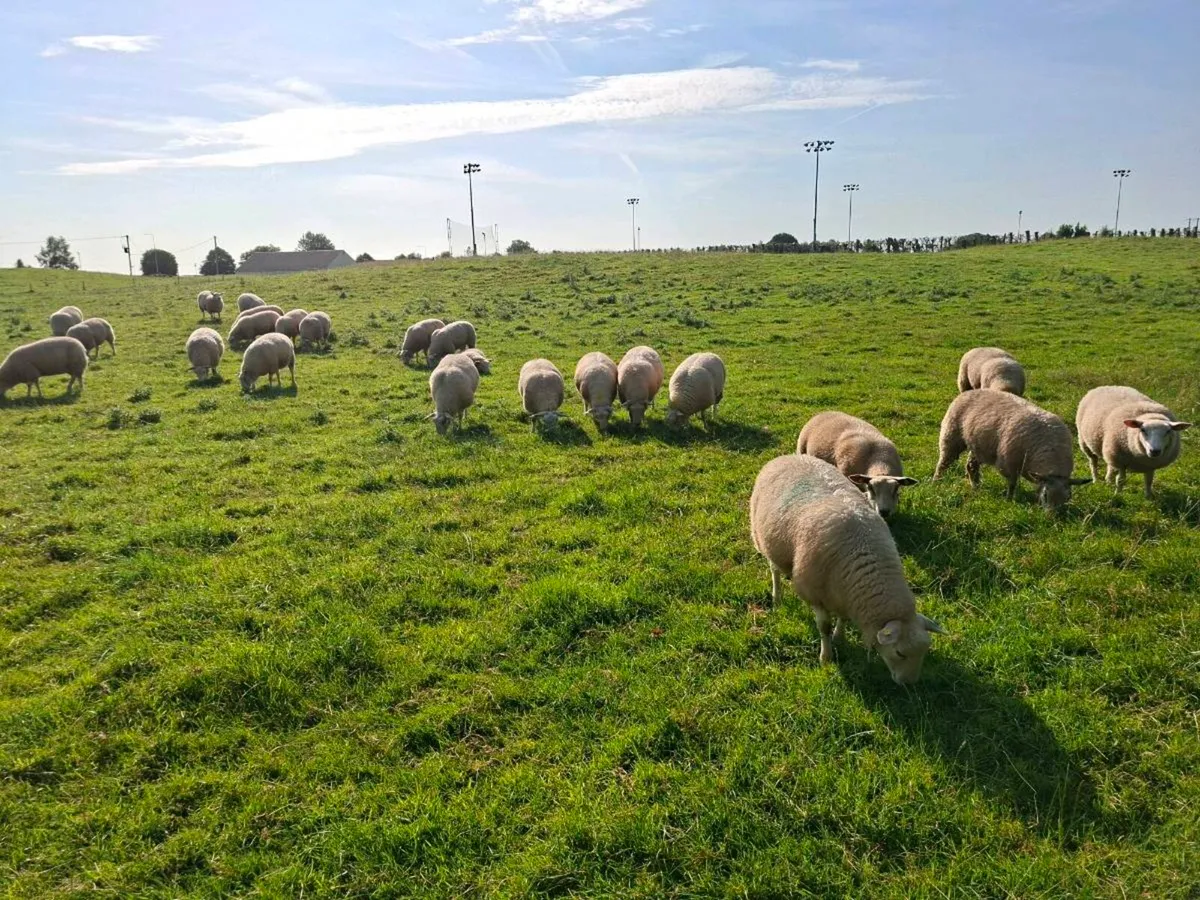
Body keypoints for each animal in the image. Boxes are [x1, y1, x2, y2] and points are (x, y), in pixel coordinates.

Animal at [750, 454, 945, 684]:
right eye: (899, 653)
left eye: (924, 653)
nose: (909, 684)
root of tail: (787, 456)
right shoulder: (815, 593)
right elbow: (823, 627)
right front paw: (826, 657)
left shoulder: (843, 594)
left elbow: (842, 618)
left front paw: (839, 638)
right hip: (764, 541)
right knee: (775, 571)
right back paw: (777, 596)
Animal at [934, 389, 1090, 510]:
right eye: (1046, 496)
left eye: (1068, 498)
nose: (1052, 518)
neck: (1051, 451)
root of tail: (969, 391)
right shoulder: (1009, 463)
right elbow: (1012, 484)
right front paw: (1010, 499)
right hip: (951, 437)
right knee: (943, 463)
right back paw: (936, 481)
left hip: (978, 445)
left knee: (971, 466)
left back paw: (976, 487)